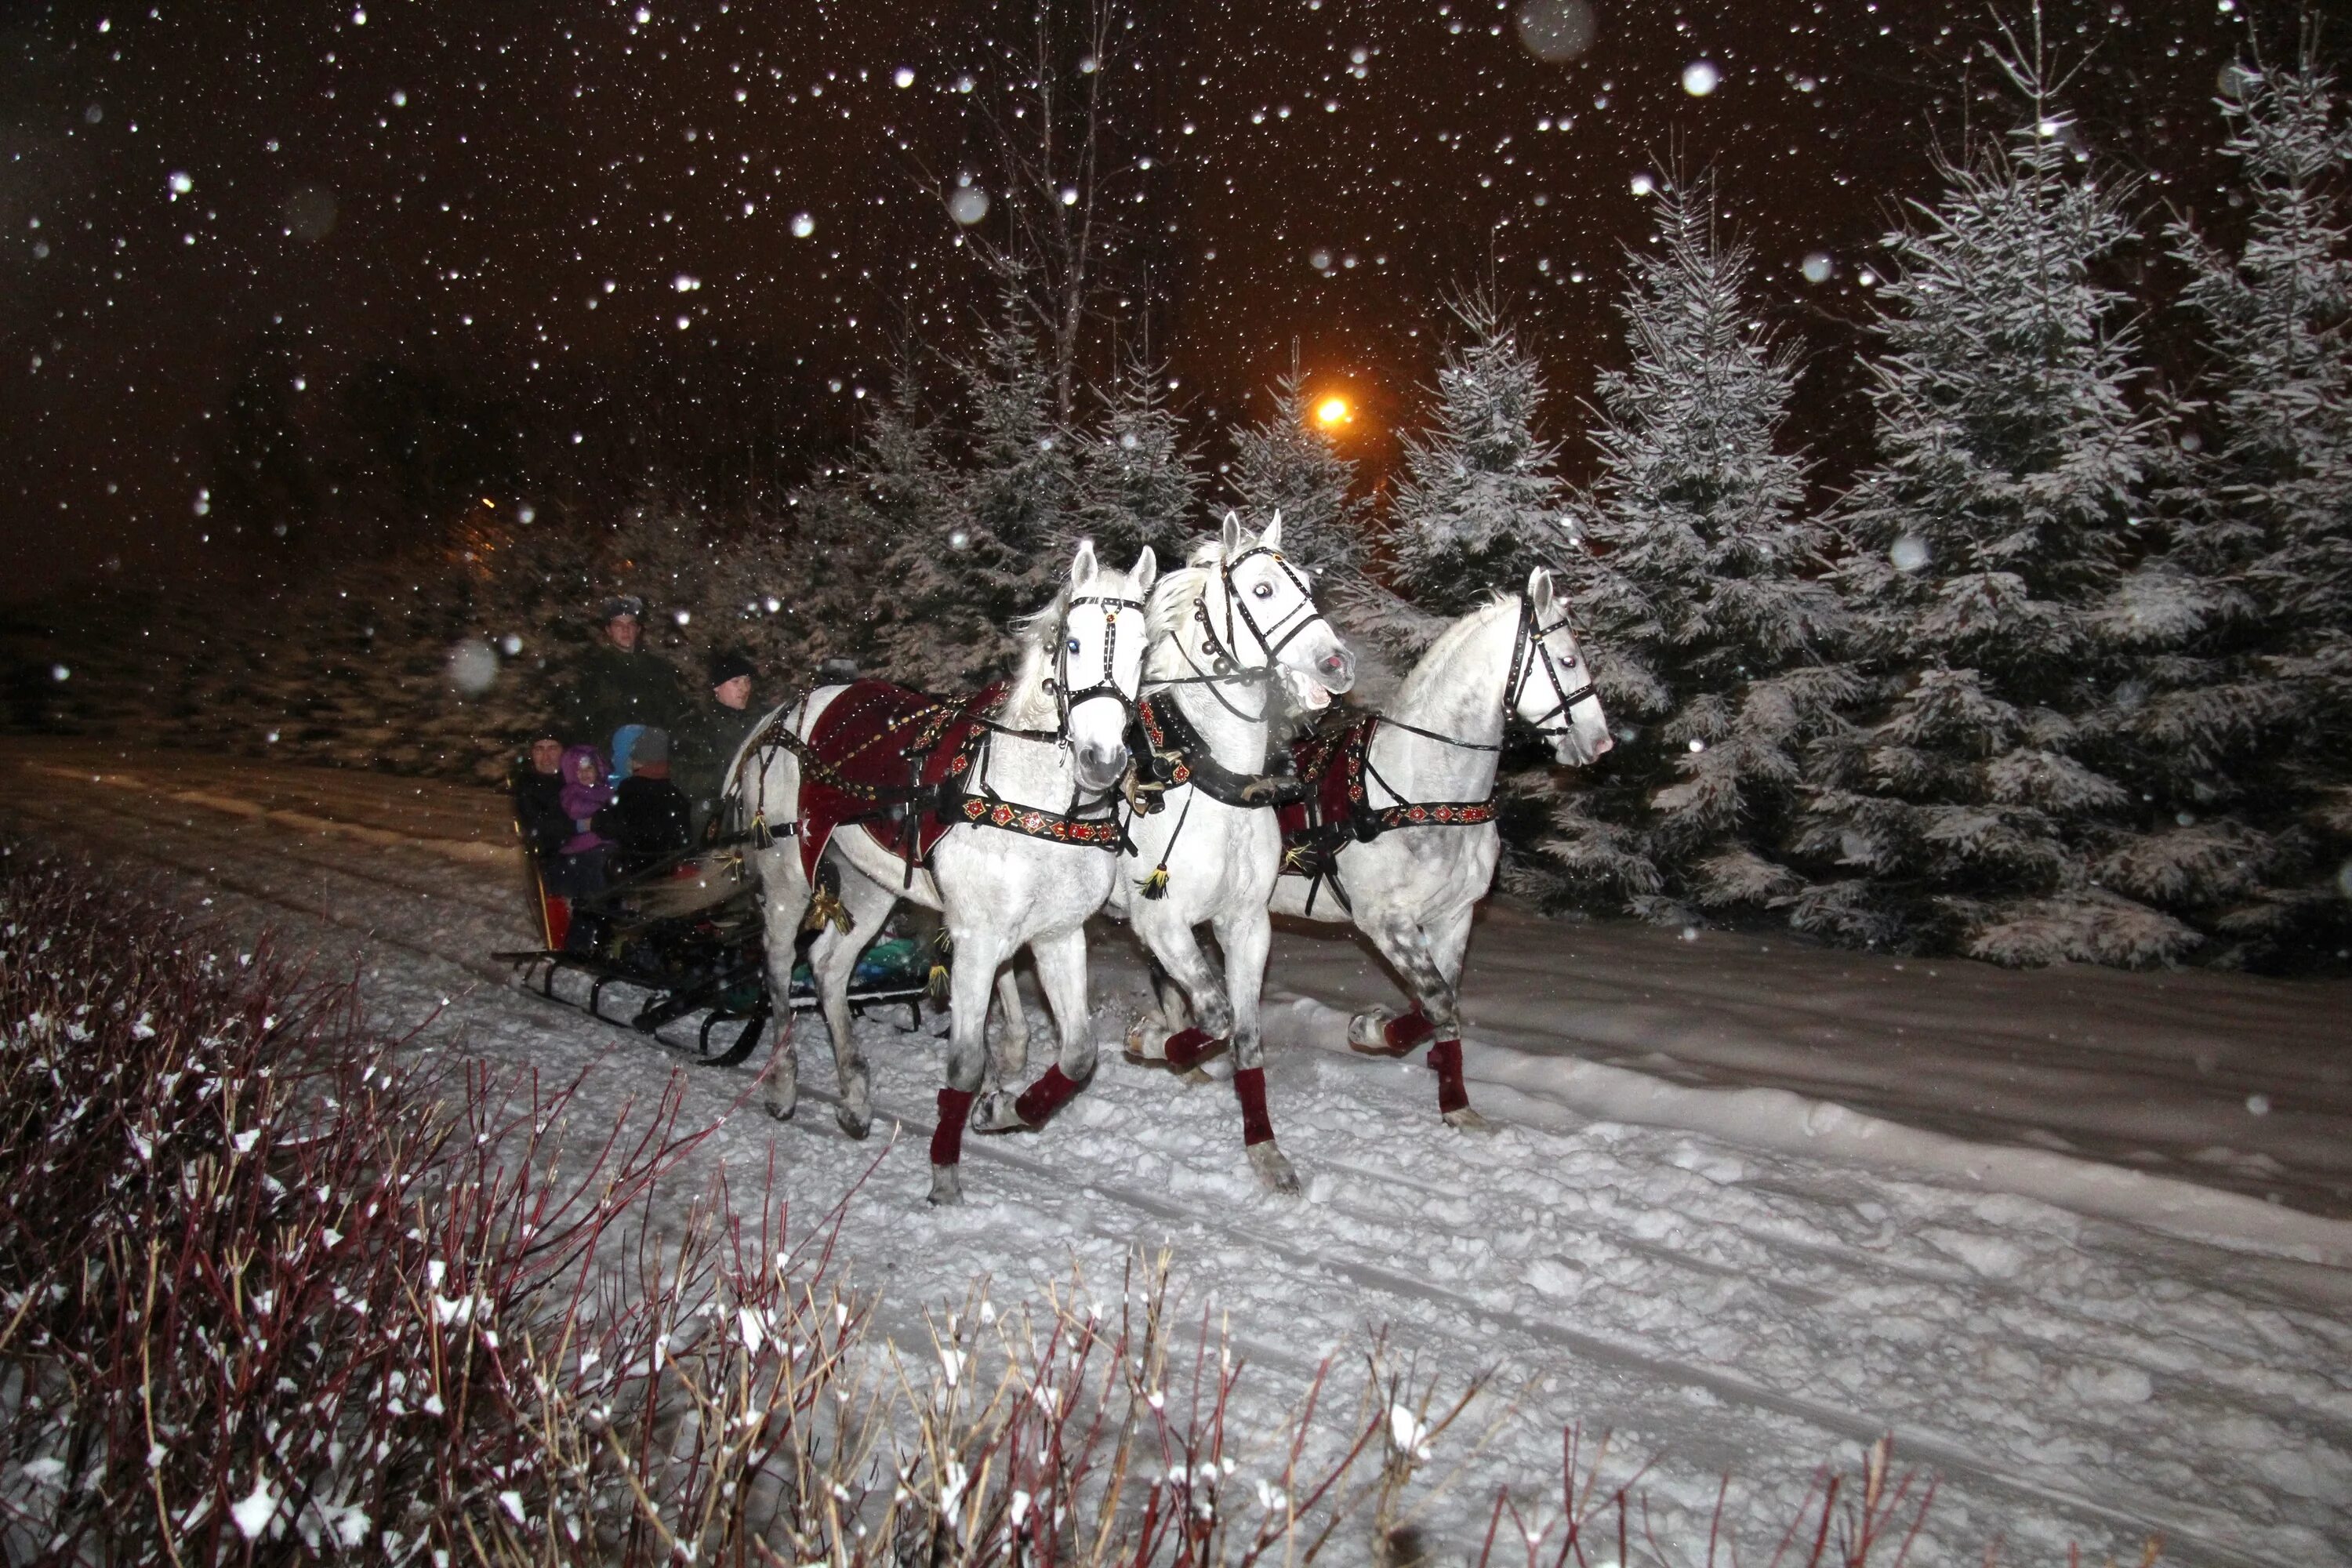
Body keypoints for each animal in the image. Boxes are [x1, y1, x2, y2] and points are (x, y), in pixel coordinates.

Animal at [724, 540, 1148, 1203]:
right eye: (1073, 643)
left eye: (1142, 648)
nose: (1102, 762)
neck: (1038, 802)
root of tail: (782, 715)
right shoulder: (977, 938)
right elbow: (966, 1063)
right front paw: (945, 1170)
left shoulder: (1058, 934)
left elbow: (1079, 1054)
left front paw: (1005, 1111)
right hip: (787, 876)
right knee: (775, 971)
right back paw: (784, 1083)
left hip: (870, 886)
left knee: (827, 968)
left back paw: (853, 1095)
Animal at [1105, 512, 1355, 1189]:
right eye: (1263, 590)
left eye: (1309, 585)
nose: (1338, 664)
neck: (1211, 778)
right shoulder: (1161, 920)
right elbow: (1214, 1017)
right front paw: (1147, 1042)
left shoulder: (1244, 925)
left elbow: (1243, 1032)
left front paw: (1266, 1153)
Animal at [1270, 573, 1618, 1128]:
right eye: (1567, 660)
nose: (1601, 742)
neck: (1425, 792)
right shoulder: (1386, 922)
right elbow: (1436, 1001)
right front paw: (1371, 1030)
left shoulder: (1454, 917)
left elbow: (1447, 1003)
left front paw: (1456, 1105)